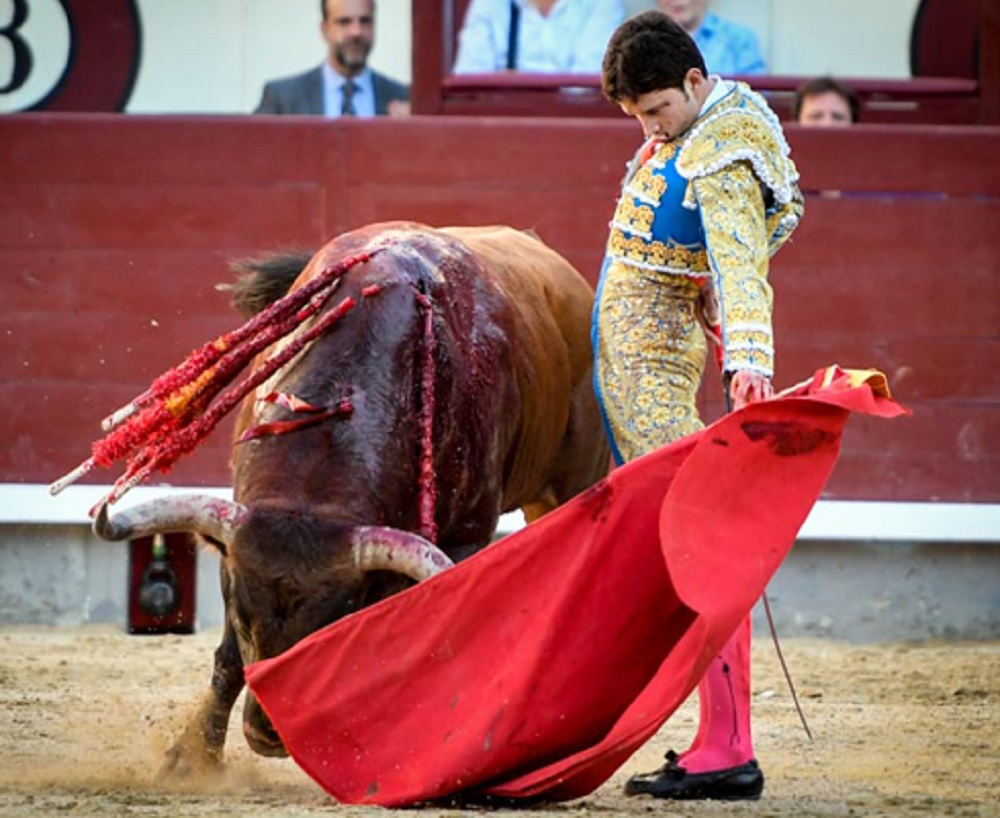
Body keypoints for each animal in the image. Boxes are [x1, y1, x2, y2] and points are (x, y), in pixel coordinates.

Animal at [94, 220, 608, 776]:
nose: (267, 736)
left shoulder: (465, 536)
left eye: (331, 630)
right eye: (247, 623)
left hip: (571, 481)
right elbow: (228, 658)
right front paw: (191, 760)